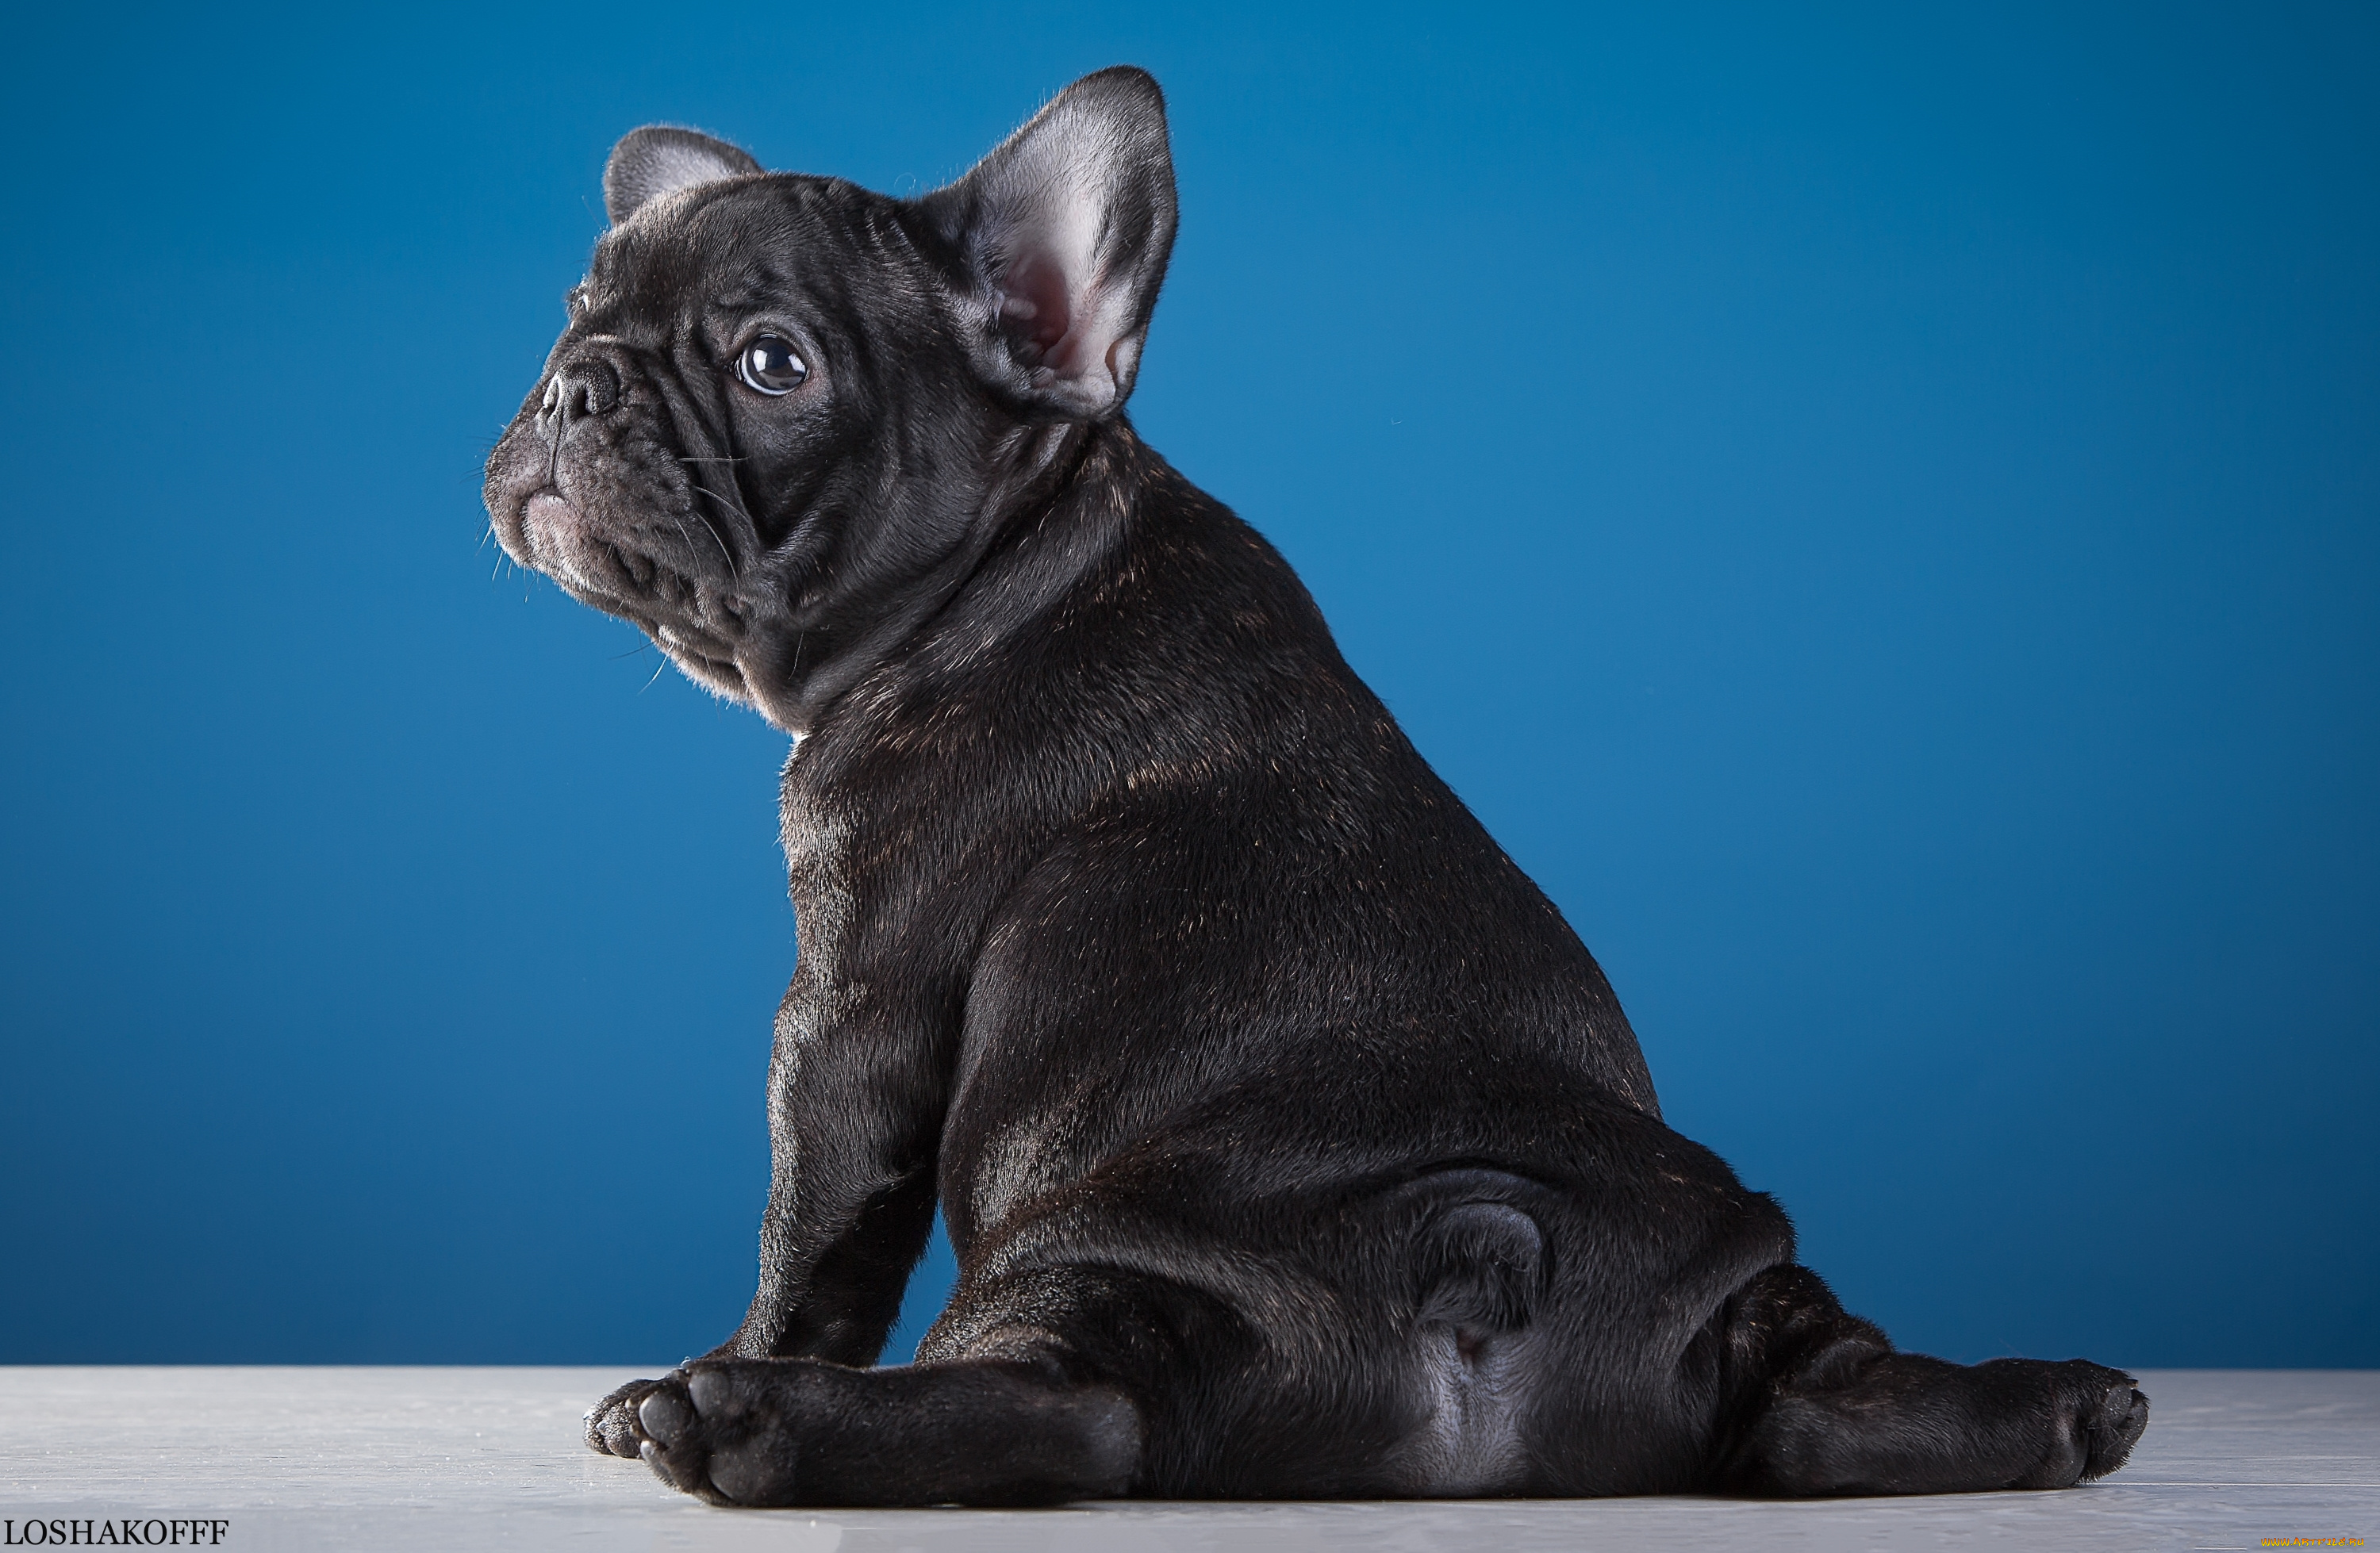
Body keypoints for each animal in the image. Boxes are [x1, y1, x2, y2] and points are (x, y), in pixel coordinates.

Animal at [483, 69, 2161, 1503]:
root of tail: (1480, 1233)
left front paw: (723, 1360)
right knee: (1812, 1410)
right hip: (1754, 1294)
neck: (1020, 556)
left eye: (774, 363)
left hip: (1074, 1236)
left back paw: (742, 1417)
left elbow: (814, 1230)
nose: (576, 388)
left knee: (1084, 1412)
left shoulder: (853, 1007)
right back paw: (2068, 1402)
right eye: (578, 318)